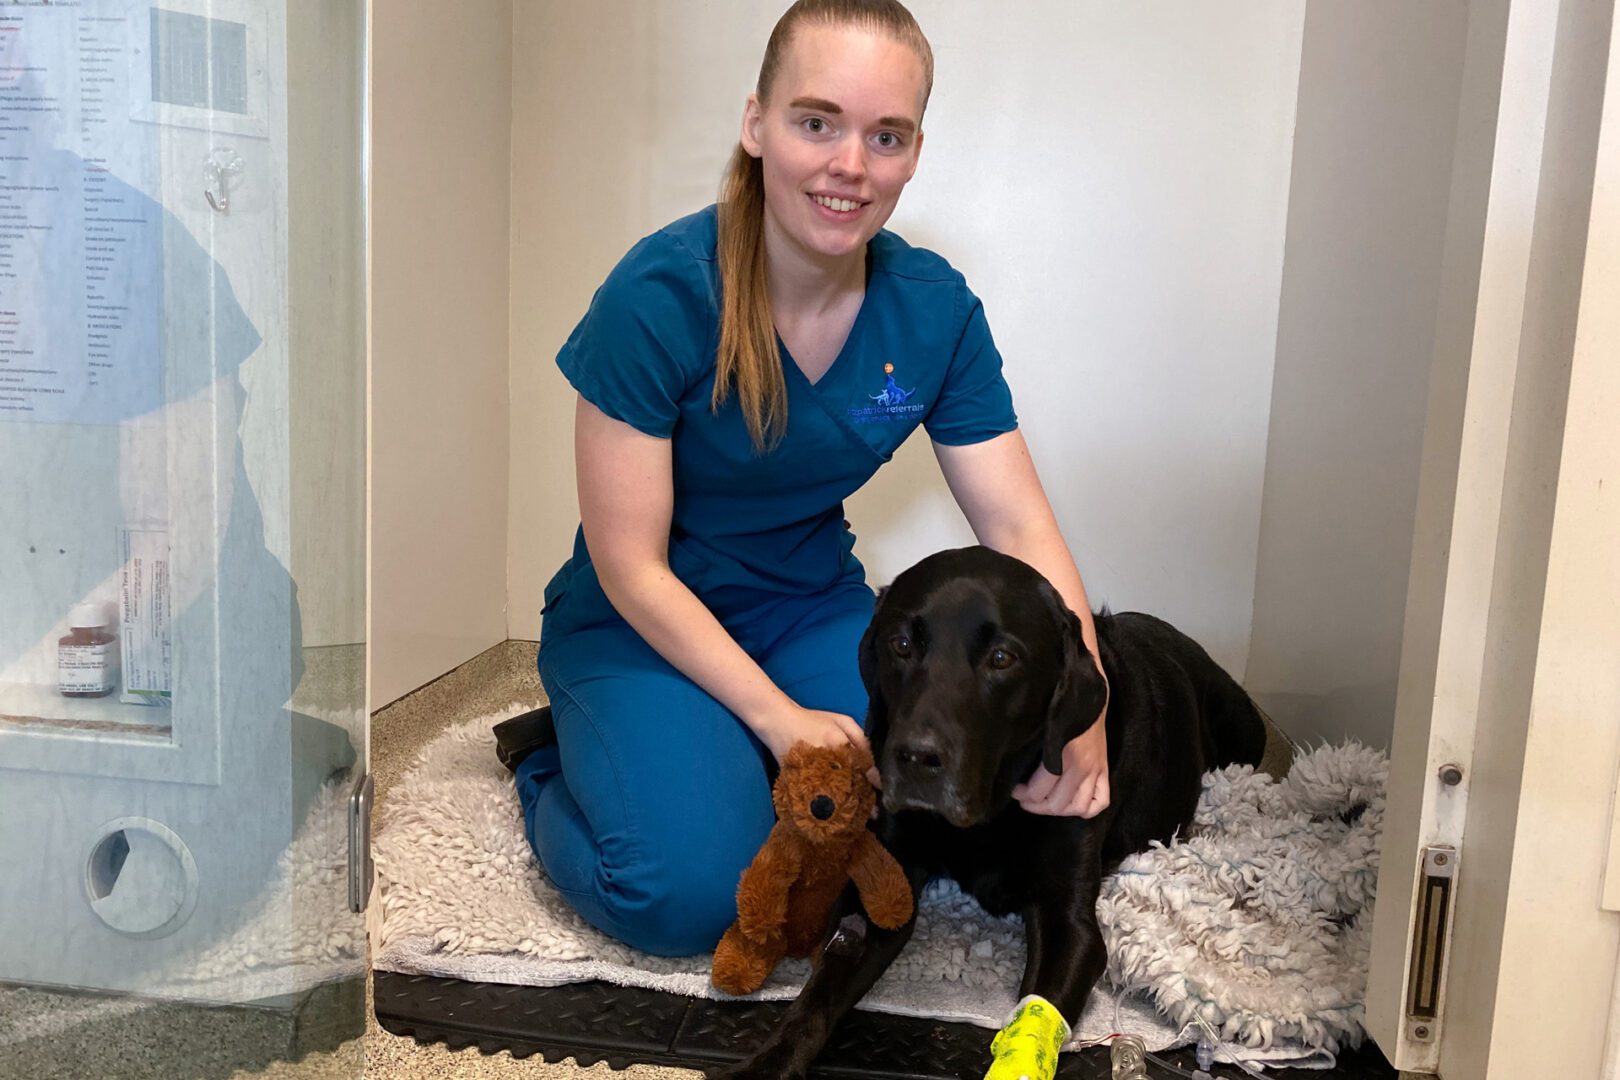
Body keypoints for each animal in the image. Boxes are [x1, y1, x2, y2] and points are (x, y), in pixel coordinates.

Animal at [716, 550, 1270, 1080]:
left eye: (1002, 658)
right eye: (901, 644)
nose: (916, 758)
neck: (990, 814)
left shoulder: (1070, 922)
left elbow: (1033, 1014)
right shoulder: (884, 892)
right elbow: (818, 995)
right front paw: (765, 1063)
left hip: (1246, 733)